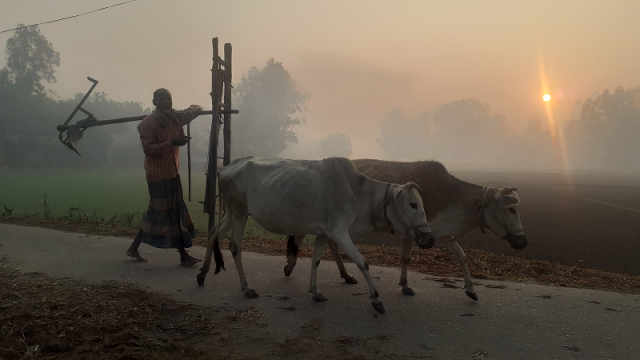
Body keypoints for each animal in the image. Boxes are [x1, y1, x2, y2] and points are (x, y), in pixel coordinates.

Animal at [196, 156, 436, 314]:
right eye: (413, 204)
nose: (429, 238)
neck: (357, 191)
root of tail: (225, 168)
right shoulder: (340, 231)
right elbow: (363, 263)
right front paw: (376, 299)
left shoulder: (324, 232)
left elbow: (316, 260)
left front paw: (315, 292)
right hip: (239, 212)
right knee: (235, 248)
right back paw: (247, 288)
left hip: (231, 213)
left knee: (212, 234)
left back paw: (202, 274)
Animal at [284, 160, 524, 300]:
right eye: (512, 209)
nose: (523, 240)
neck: (449, 196)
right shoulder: (415, 231)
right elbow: (406, 257)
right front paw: (405, 285)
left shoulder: (440, 233)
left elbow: (462, 256)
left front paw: (471, 289)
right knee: (299, 236)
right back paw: (290, 265)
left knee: (331, 243)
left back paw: (346, 275)